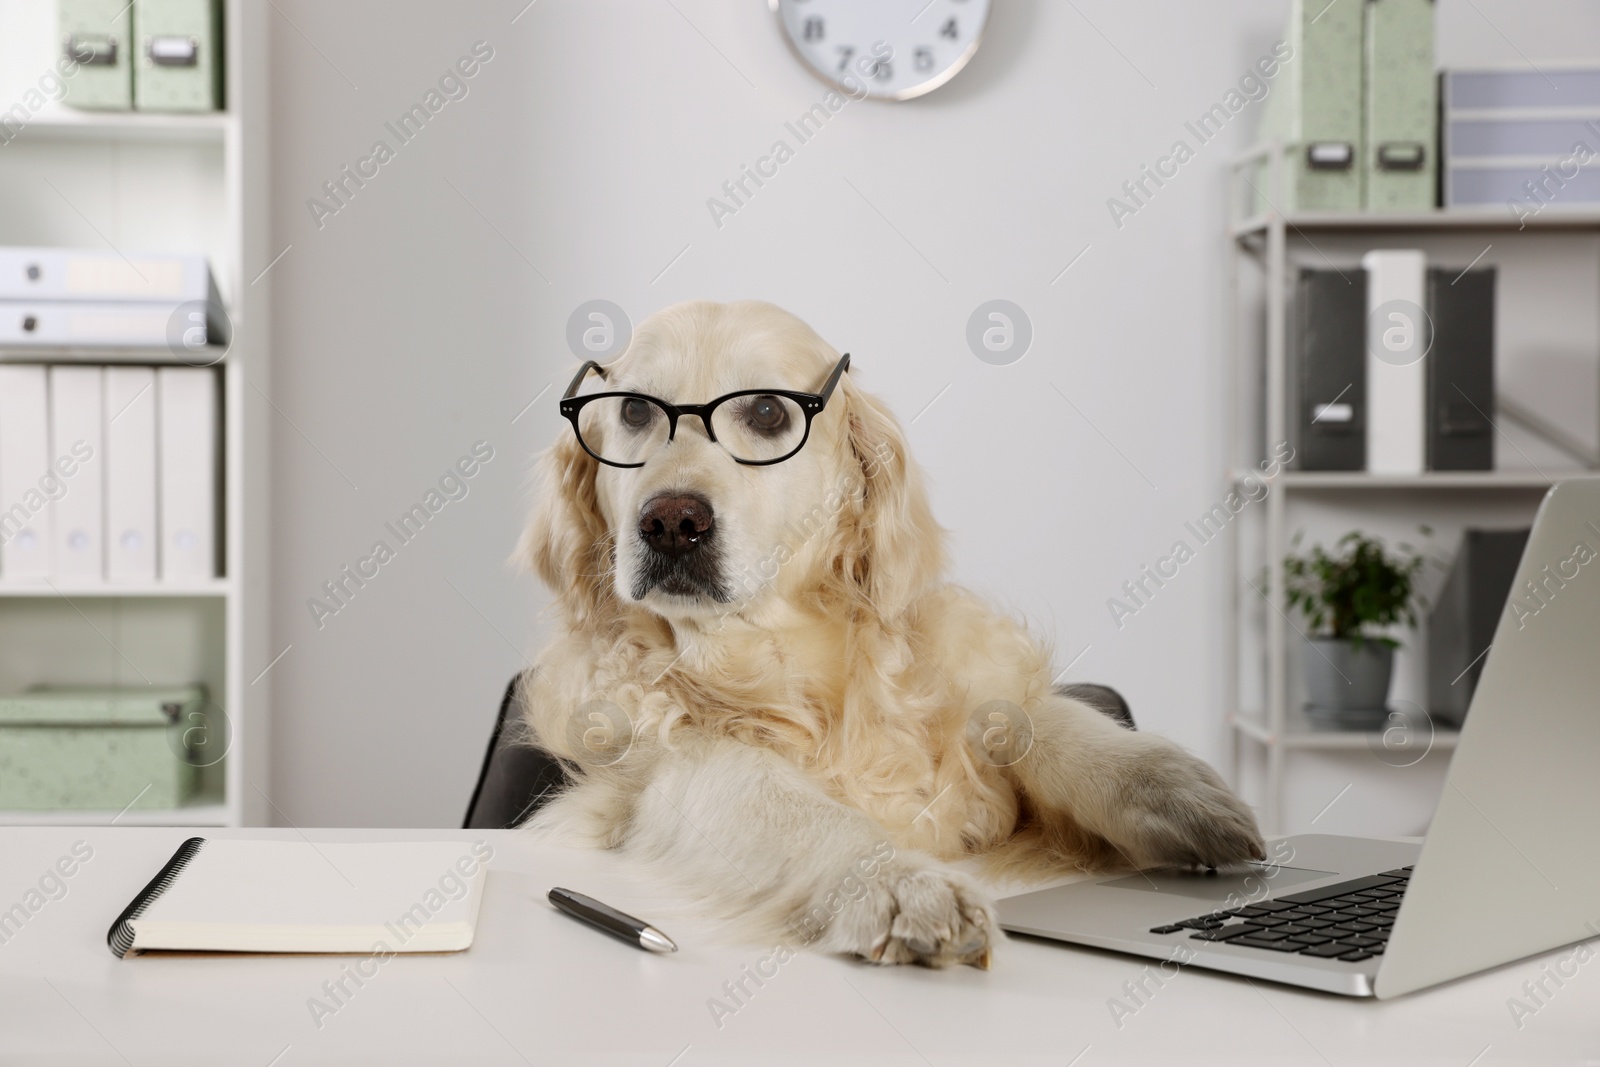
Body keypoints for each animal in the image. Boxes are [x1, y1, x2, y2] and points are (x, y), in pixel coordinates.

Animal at [518, 299, 1267, 966]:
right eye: (634, 410)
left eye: (767, 412)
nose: (672, 522)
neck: (767, 652)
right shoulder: (665, 772)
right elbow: (788, 802)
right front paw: (897, 881)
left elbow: (1032, 717)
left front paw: (1169, 787)